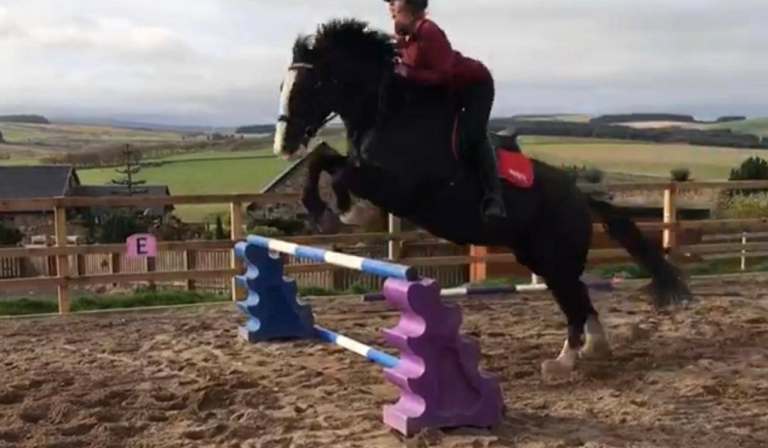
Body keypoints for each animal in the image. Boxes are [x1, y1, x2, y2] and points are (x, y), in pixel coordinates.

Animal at [272, 18, 692, 377]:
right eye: (282, 87)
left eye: (312, 86)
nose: (283, 145)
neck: (388, 114)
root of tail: (581, 198)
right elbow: (325, 160)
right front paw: (325, 210)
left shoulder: (398, 187)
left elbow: (339, 171)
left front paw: (343, 212)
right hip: (538, 256)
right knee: (579, 297)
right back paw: (593, 349)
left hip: (555, 256)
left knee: (574, 300)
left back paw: (564, 361)